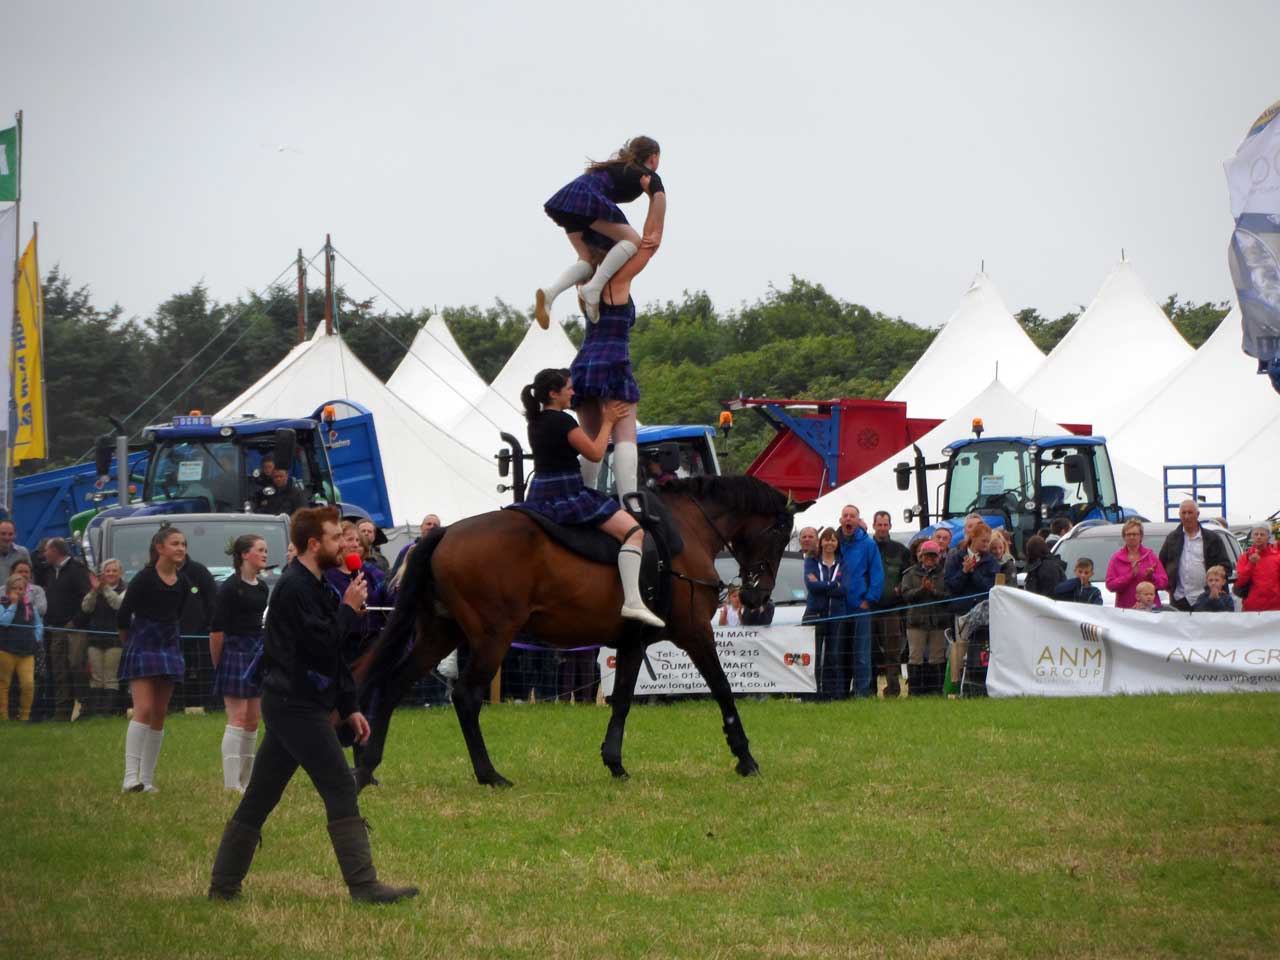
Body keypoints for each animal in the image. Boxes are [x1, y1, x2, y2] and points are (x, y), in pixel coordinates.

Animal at [350, 476, 808, 788]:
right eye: (780, 533)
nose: (757, 596)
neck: (685, 530)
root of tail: (445, 532)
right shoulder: (695, 633)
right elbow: (723, 689)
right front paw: (745, 757)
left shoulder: (631, 643)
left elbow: (621, 700)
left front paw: (615, 761)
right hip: (491, 637)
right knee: (465, 696)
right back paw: (489, 774)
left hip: (440, 634)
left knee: (393, 685)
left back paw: (368, 767)